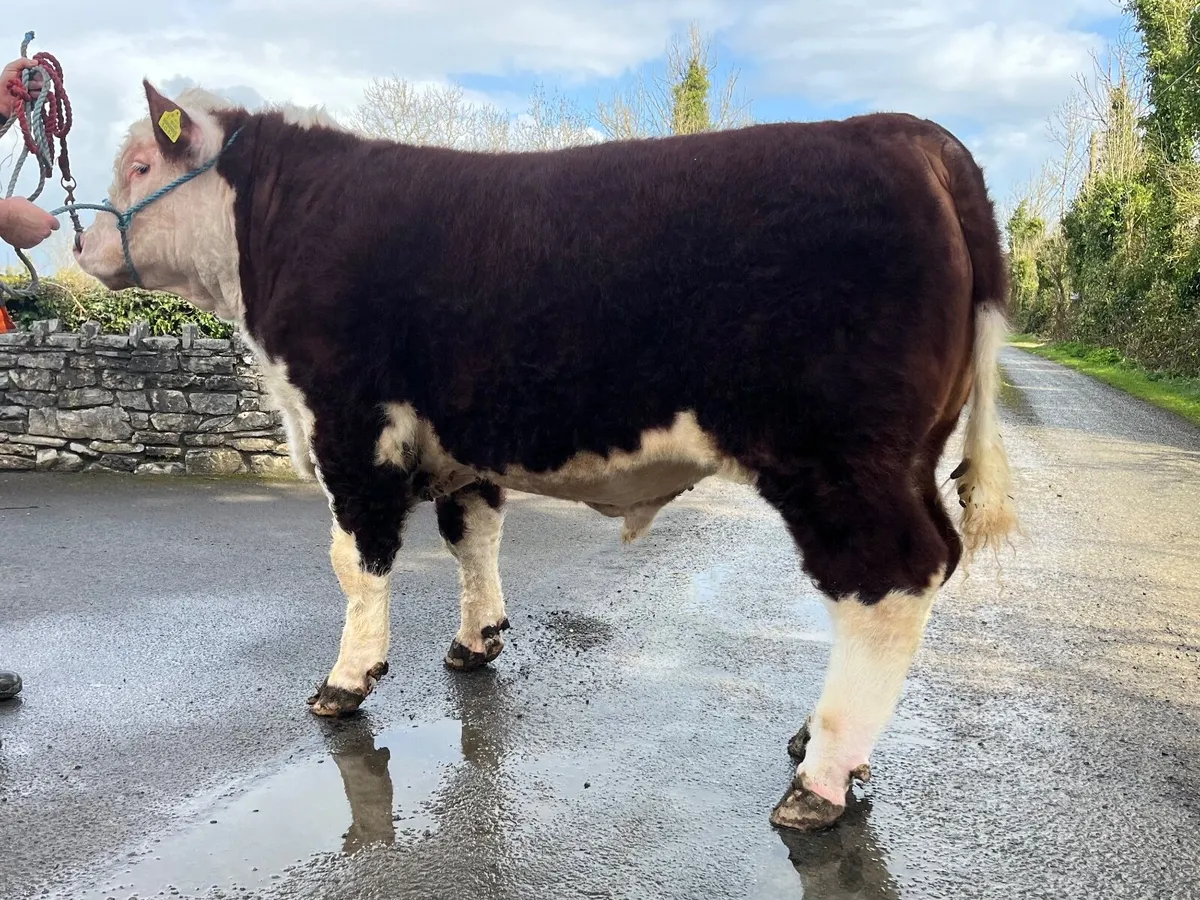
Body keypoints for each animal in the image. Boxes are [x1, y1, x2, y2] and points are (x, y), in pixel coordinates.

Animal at [75, 81, 1018, 832]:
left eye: (139, 165)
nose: (78, 247)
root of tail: (909, 135)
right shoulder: (461, 443)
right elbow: (473, 538)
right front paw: (476, 641)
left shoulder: (349, 425)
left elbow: (357, 560)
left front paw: (346, 682)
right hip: (903, 455)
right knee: (920, 568)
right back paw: (822, 742)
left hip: (840, 457)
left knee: (889, 578)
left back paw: (820, 779)